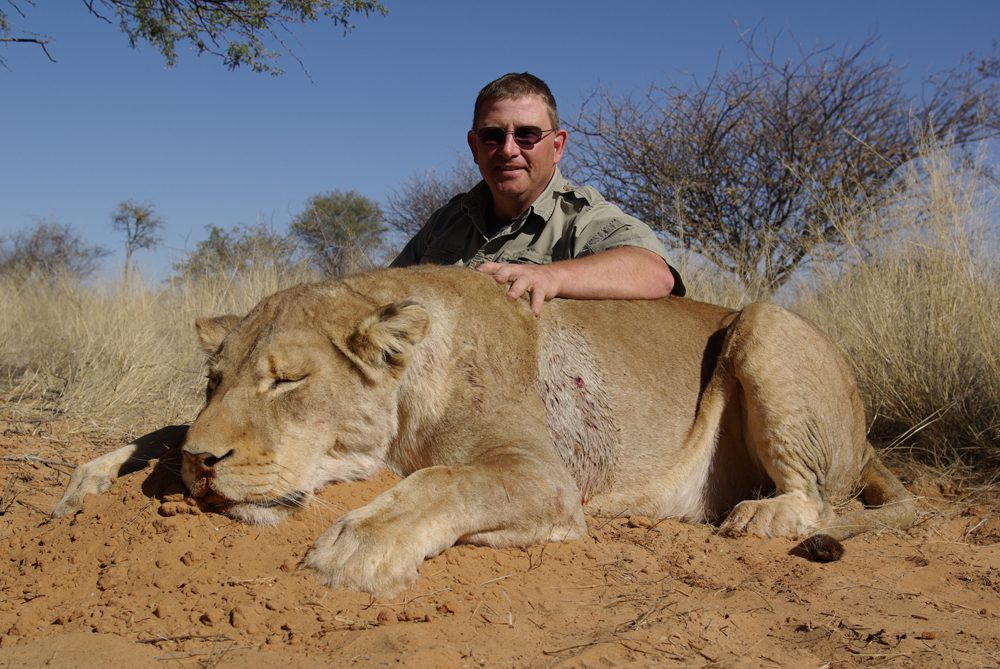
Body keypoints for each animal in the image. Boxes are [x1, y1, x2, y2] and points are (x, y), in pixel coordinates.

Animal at [53, 265, 916, 597]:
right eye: (214, 381)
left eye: (287, 380)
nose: (205, 462)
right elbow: (158, 429)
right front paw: (93, 475)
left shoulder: (544, 475)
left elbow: (443, 481)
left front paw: (354, 549)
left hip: (764, 321)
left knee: (819, 496)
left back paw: (765, 513)